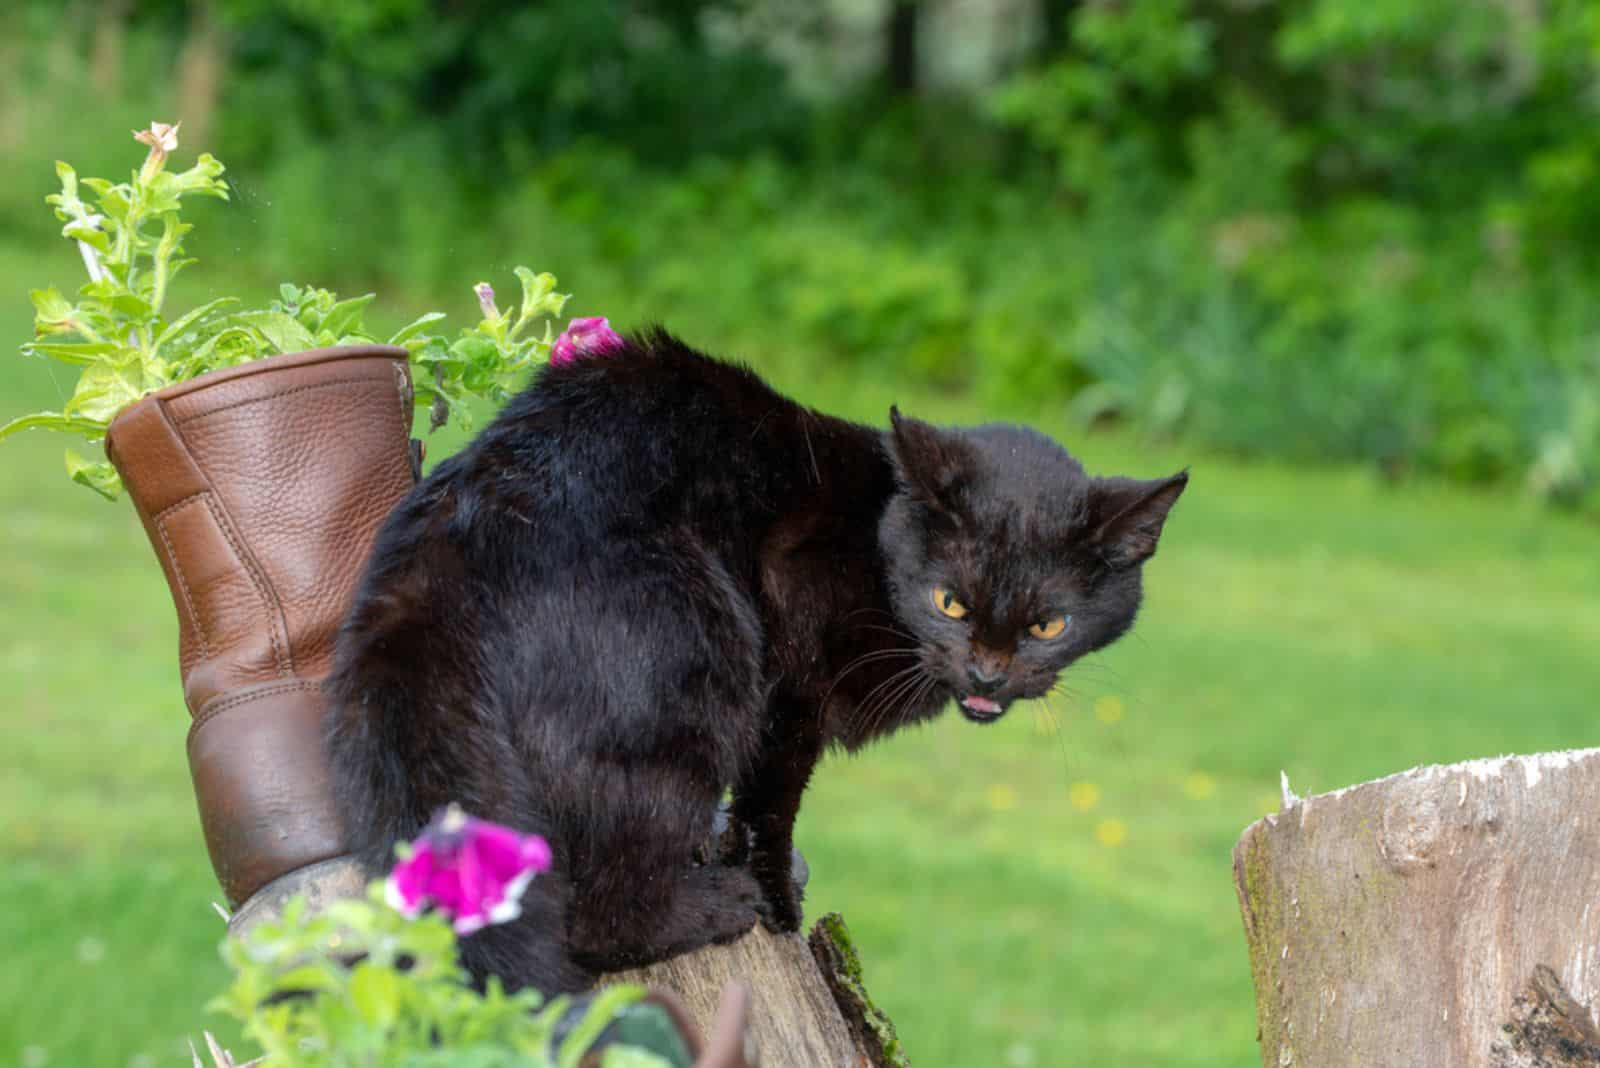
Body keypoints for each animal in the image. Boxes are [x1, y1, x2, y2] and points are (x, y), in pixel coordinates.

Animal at [324, 329, 1184, 997]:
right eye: (950, 603)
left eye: (1047, 624)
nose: (989, 674)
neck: (877, 537)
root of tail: (454, 525)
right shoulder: (790, 656)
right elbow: (773, 798)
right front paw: (773, 895)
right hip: (699, 667)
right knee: (603, 919)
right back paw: (719, 904)